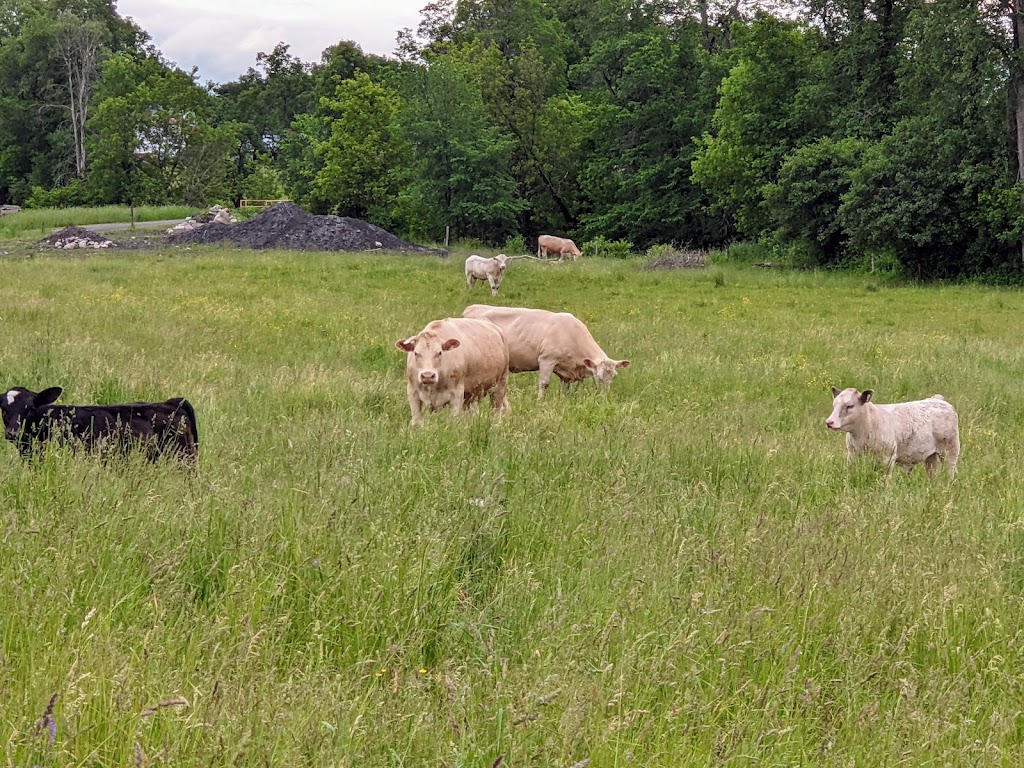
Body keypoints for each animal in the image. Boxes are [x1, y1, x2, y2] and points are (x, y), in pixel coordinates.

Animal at [462, 303, 622, 399]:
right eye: (599, 377)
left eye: (614, 377)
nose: (604, 397)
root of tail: (471, 308)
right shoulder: (547, 359)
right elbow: (544, 383)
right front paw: (540, 401)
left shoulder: (566, 372)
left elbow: (565, 388)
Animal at [823, 387, 958, 479]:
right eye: (834, 405)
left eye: (850, 406)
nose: (829, 422)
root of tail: (937, 399)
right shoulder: (852, 456)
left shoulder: (887, 459)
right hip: (931, 457)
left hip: (951, 451)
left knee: (950, 472)